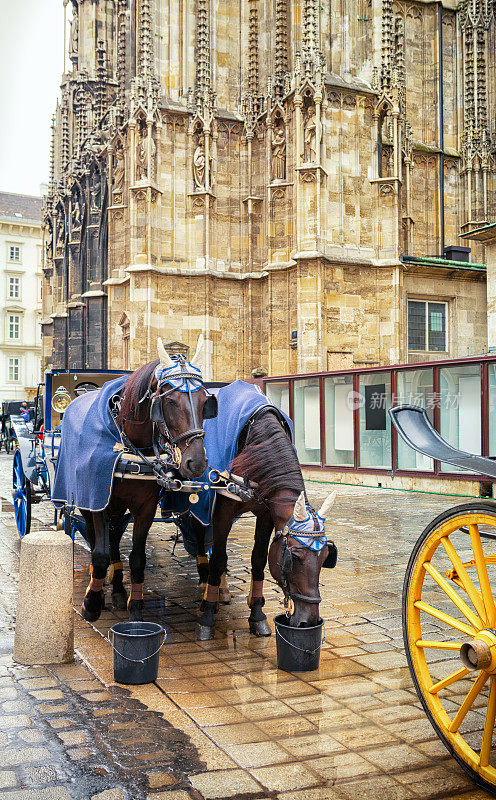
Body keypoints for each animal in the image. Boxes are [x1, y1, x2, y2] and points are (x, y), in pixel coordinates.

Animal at [194, 410, 338, 640]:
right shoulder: (221, 510)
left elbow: (259, 559)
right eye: (294, 558)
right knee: (198, 532)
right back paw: (203, 585)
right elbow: (217, 559)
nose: (309, 621)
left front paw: (257, 614)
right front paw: (207, 616)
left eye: (326, 558)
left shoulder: (266, 514)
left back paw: (221, 590)